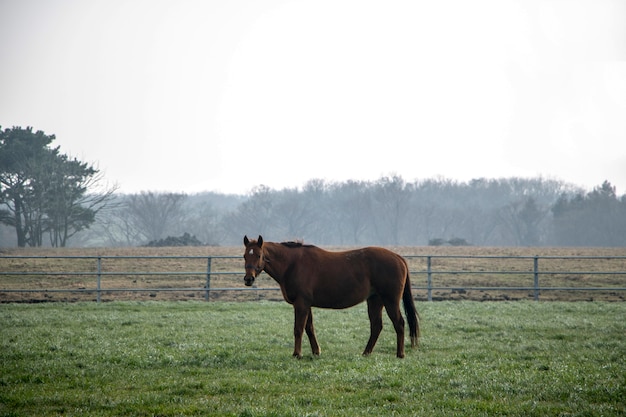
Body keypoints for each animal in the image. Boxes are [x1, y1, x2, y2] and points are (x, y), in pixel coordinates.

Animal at [241, 234, 416, 358]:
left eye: (258, 255)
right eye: (244, 256)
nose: (248, 279)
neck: (293, 264)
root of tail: (399, 258)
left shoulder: (301, 304)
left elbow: (298, 329)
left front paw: (297, 354)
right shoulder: (306, 304)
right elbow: (309, 328)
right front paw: (316, 351)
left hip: (390, 301)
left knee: (399, 323)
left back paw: (400, 354)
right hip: (375, 301)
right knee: (376, 326)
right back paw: (366, 353)